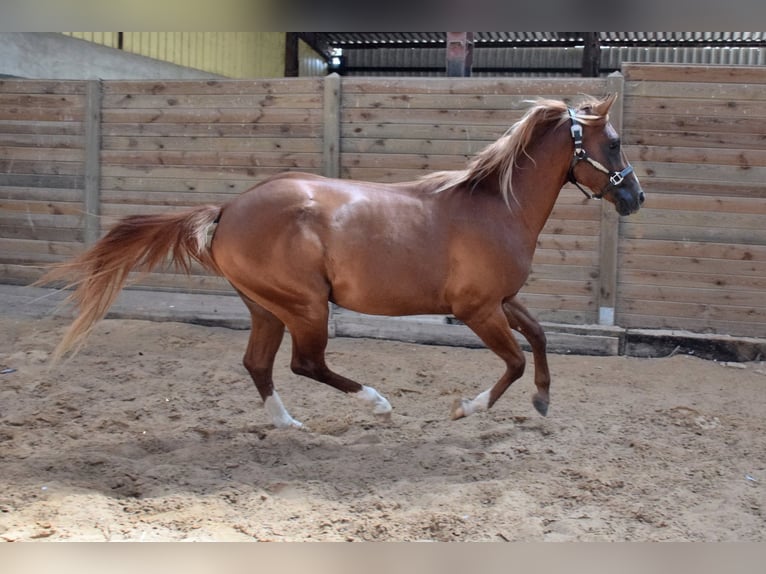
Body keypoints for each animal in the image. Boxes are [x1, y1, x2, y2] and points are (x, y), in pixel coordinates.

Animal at [38, 94, 644, 429]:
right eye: (614, 143)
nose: (635, 197)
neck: (496, 206)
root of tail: (228, 210)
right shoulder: (476, 309)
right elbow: (515, 361)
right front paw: (465, 410)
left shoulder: (503, 299)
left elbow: (539, 337)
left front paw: (542, 401)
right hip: (306, 306)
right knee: (304, 364)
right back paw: (377, 404)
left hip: (266, 307)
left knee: (258, 364)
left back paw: (289, 424)